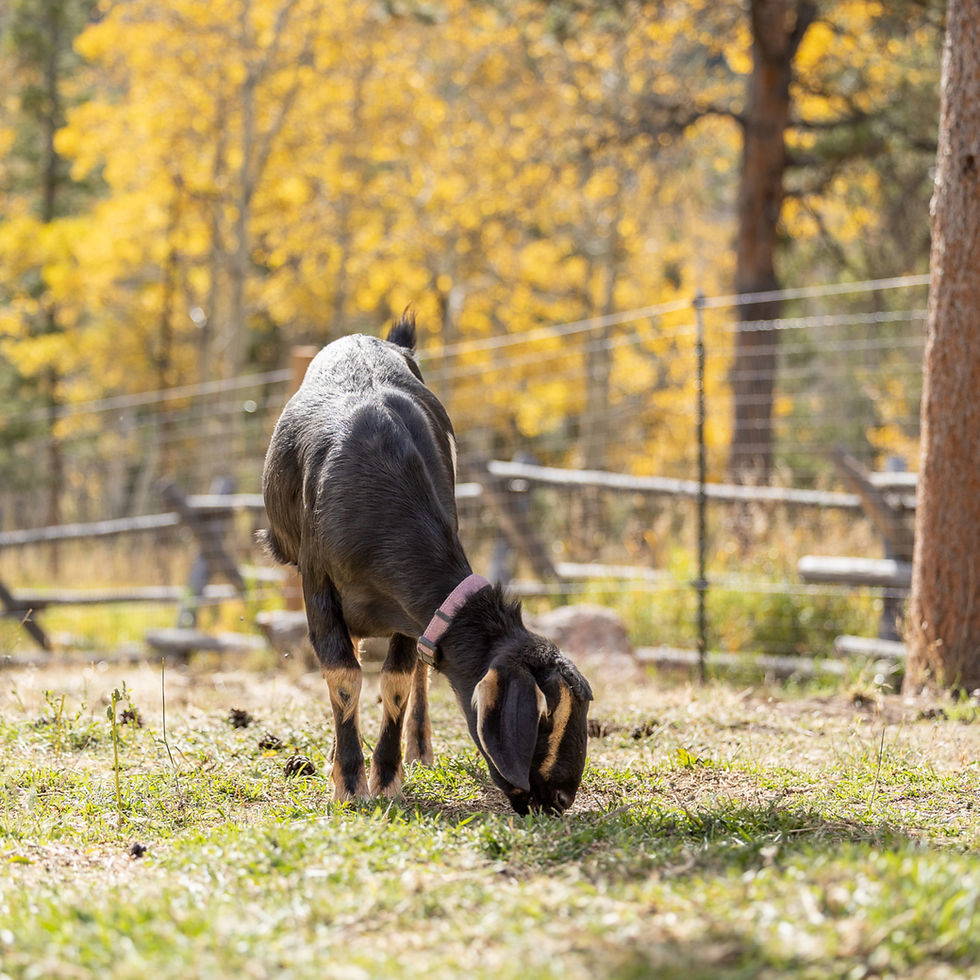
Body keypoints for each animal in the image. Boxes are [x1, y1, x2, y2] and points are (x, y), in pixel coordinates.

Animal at [260, 312, 593, 814]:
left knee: (413, 670)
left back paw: (417, 747)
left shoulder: (406, 607)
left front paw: (387, 776)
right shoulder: (317, 582)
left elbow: (397, 679)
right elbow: (343, 676)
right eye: (543, 716)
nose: (560, 798)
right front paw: (351, 783)